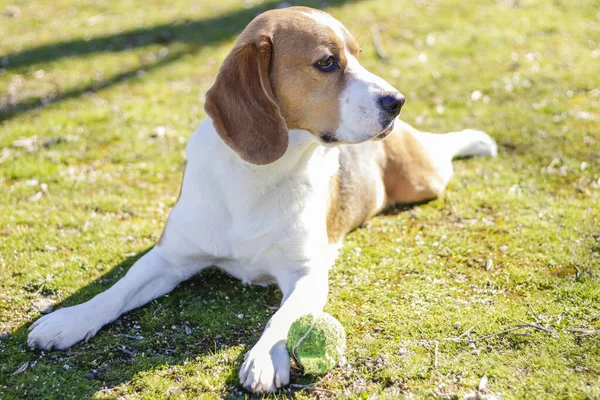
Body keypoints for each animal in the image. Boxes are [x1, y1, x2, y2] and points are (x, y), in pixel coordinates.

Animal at [27, 6, 496, 394]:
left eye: (360, 55)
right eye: (327, 62)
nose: (396, 101)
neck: (259, 176)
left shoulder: (307, 274)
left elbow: (282, 318)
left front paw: (265, 357)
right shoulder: (169, 258)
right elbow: (116, 291)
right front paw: (69, 321)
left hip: (424, 177)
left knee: (443, 147)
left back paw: (476, 139)